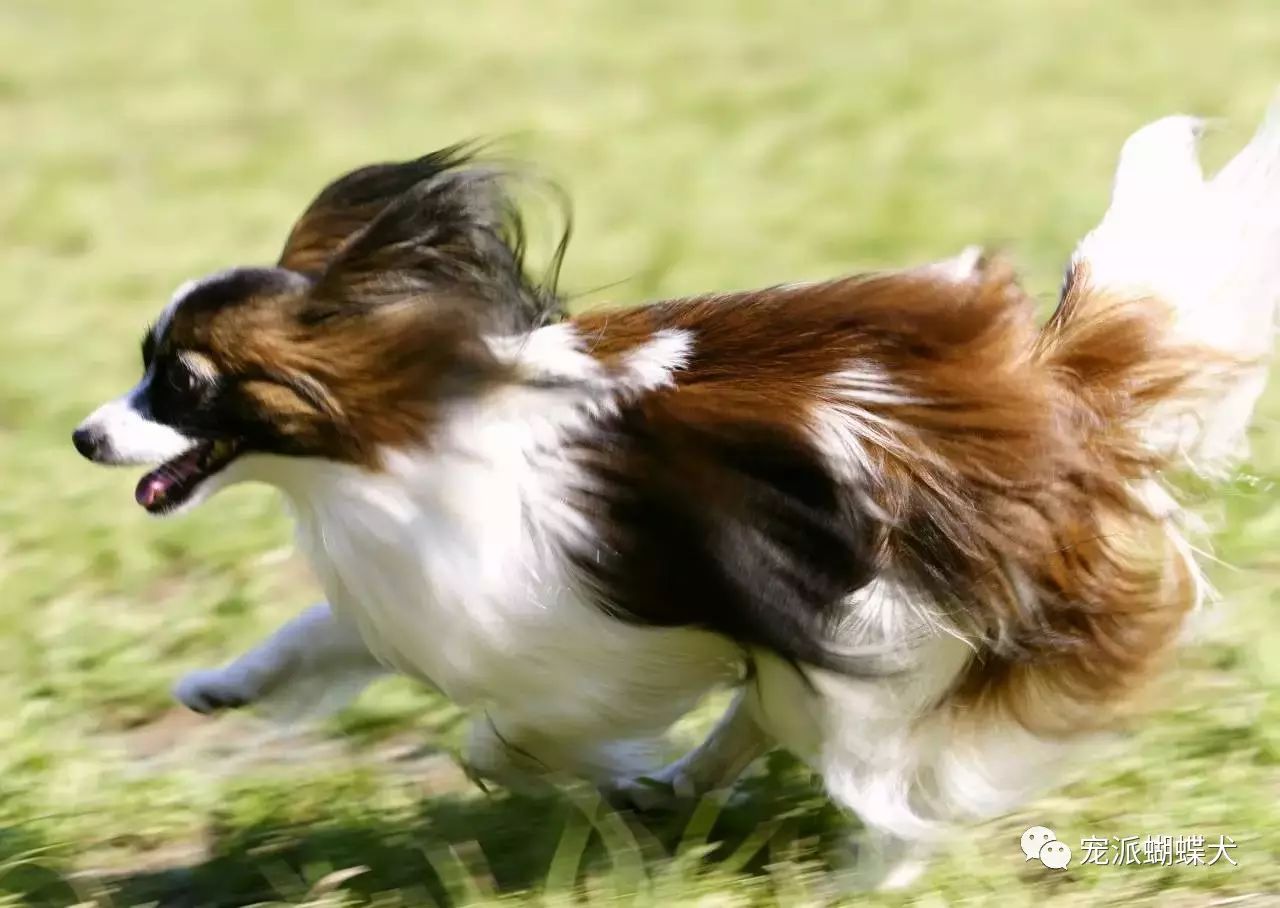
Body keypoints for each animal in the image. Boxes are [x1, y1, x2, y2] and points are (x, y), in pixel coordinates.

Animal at [72, 95, 1280, 891]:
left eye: (182, 383)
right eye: (144, 365)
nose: (85, 435)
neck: (394, 431)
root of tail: (1052, 394)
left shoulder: (572, 641)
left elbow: (499, 739)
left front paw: (593, 773)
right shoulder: (415, 591)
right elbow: (315, 635)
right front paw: (219, 686)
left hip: (882, 629)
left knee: (886, 790)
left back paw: (847, 875)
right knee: (773, 711)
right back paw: (692, 787)